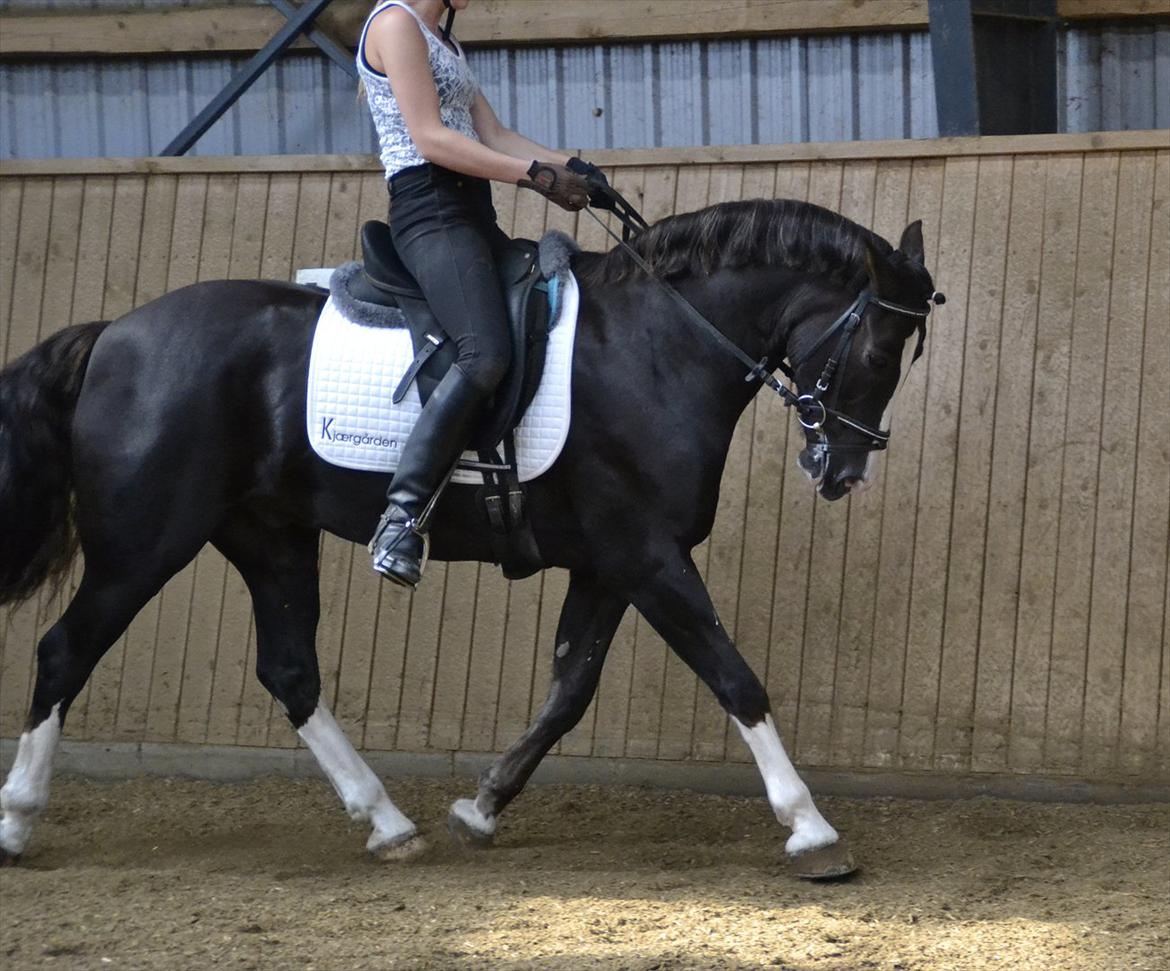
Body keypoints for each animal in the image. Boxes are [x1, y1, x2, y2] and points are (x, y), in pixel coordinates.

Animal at [0, 200, 935, 879]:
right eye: (880, 349)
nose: (845, 471)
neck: (657, 346)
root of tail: (115, 332)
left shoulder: (610, 564)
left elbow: (569, 691)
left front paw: (480, 807)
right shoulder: (647, 555)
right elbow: (733, 676)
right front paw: (811, 827)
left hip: (269, 535)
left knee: (290, 671)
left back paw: (387, 822)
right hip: (146, 542)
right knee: (63, 651)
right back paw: (17, 818)